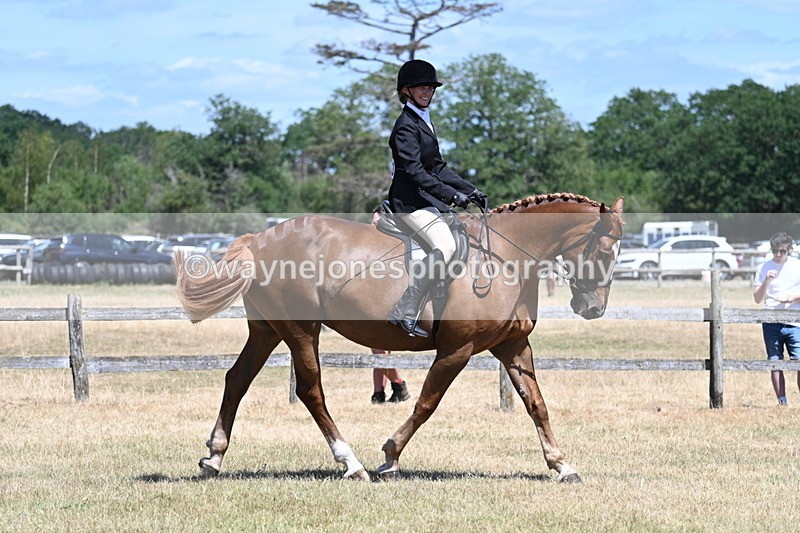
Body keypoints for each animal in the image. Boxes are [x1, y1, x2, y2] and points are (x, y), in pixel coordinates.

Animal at [175, 192, 624, 483]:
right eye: (605, 252)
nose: (593, 309)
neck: (506, 259)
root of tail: (260, 240)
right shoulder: (457, 349)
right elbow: (427, 402)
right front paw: (389, 456)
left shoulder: (513, 347)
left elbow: (536, 404)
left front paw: (562, 465)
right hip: (301, 329)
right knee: (310, 390)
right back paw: (352, 463)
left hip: (267, 329)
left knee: (237, 379)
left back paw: (214, 457)